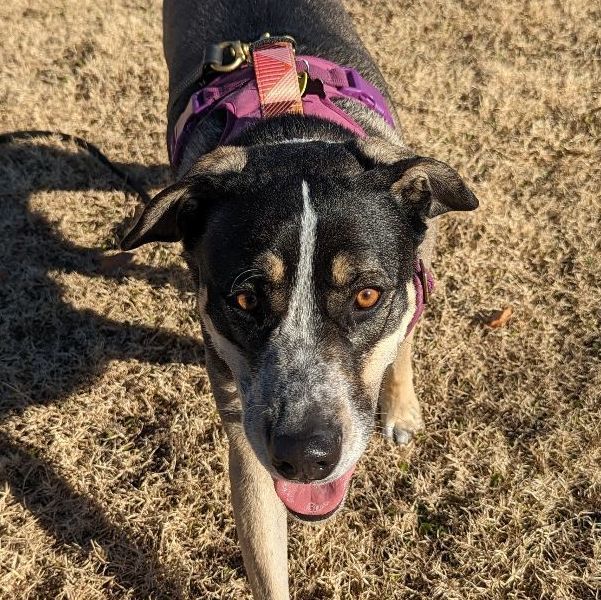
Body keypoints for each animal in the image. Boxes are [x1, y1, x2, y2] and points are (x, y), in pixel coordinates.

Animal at [120, 2, 478, 596]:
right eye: (244, 301)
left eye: (366, 296)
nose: (305, 458)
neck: (292, 131)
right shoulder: (247, 436)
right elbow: (266, 562)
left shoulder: (414, 271)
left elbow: (404, 334)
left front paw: (401, 405)